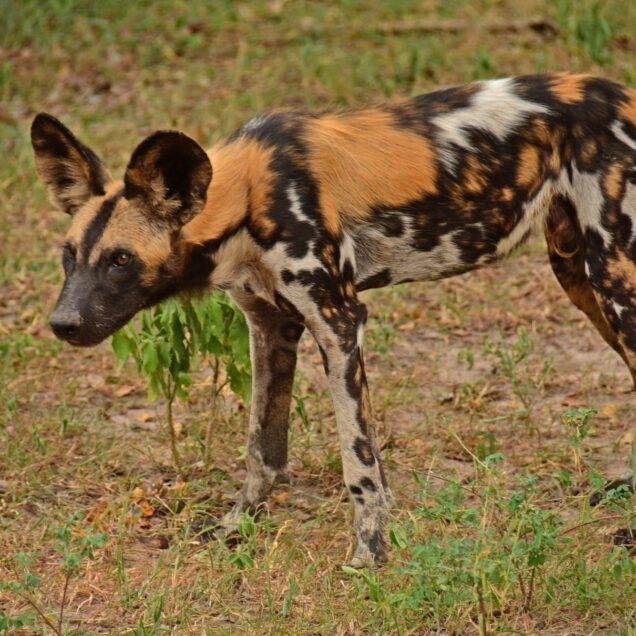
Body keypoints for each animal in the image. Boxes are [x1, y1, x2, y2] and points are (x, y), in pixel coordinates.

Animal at [32, 73, 636, 568]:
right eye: (68, 256)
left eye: (121, 260)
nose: (62, 325)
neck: (247, 197)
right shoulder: (271, 328)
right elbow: (262, 450)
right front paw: (237, 526)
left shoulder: (339, 324)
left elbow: (361, 467)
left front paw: (370, 553)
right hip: (579, 277)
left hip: (613, 283)